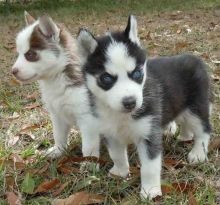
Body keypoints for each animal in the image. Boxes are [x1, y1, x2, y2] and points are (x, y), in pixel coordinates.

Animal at [11, 12, 99, 159]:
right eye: (18, 53)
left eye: (30, 54)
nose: (13, 71)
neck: (56, 79)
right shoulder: (57, 115)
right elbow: (58, 135)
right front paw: (58, 150)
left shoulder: (88, 119)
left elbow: (88, 147)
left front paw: (89, 162)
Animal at [77, 16, 211, 199]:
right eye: (106, 78)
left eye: (137, 73)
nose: (130, 102)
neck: (123, 116)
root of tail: (195, 58)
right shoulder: (111, 132)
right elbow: (116, 154)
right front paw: (120, 172)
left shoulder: (149, 133)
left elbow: (149, 168)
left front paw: (151, 191)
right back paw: (185, 136)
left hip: (196, 108)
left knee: (204, 129)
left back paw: (198, 153)